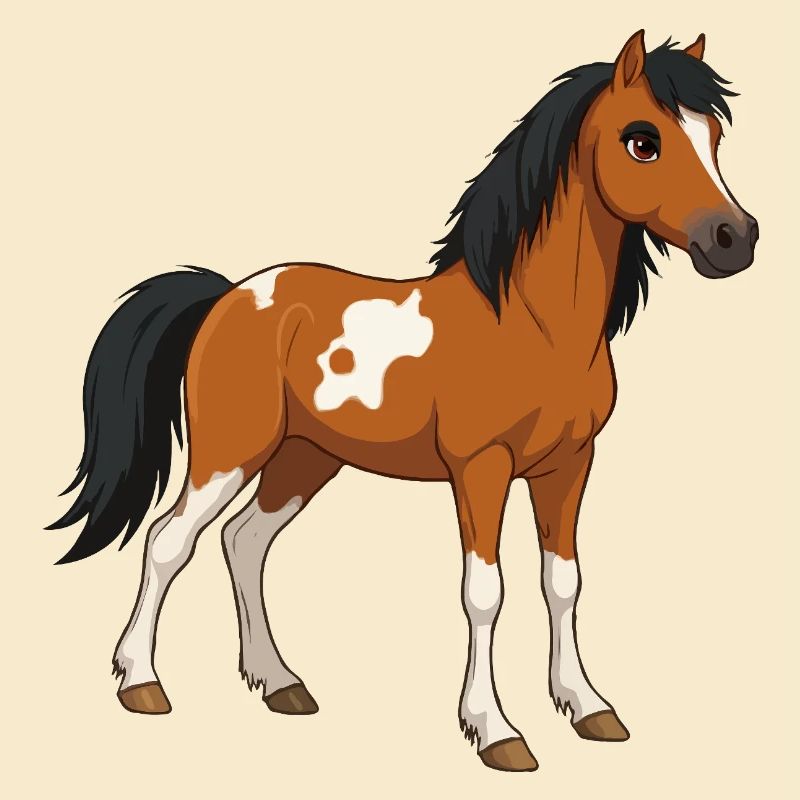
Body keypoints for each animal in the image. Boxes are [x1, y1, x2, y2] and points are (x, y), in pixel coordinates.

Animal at [48, 30, 758, 772]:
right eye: (642, 140)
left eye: (713, 135)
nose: (735, 239)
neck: (531, 324)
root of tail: (229, 294)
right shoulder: (481, 469)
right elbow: (485, 593)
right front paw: (495, 731)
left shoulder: (569, 466)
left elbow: (563, 582)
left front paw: (589, 707)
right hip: (230, 453)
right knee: (169, 541)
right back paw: (141, 683)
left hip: (305, 459)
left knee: (244, 542)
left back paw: (280, 684)